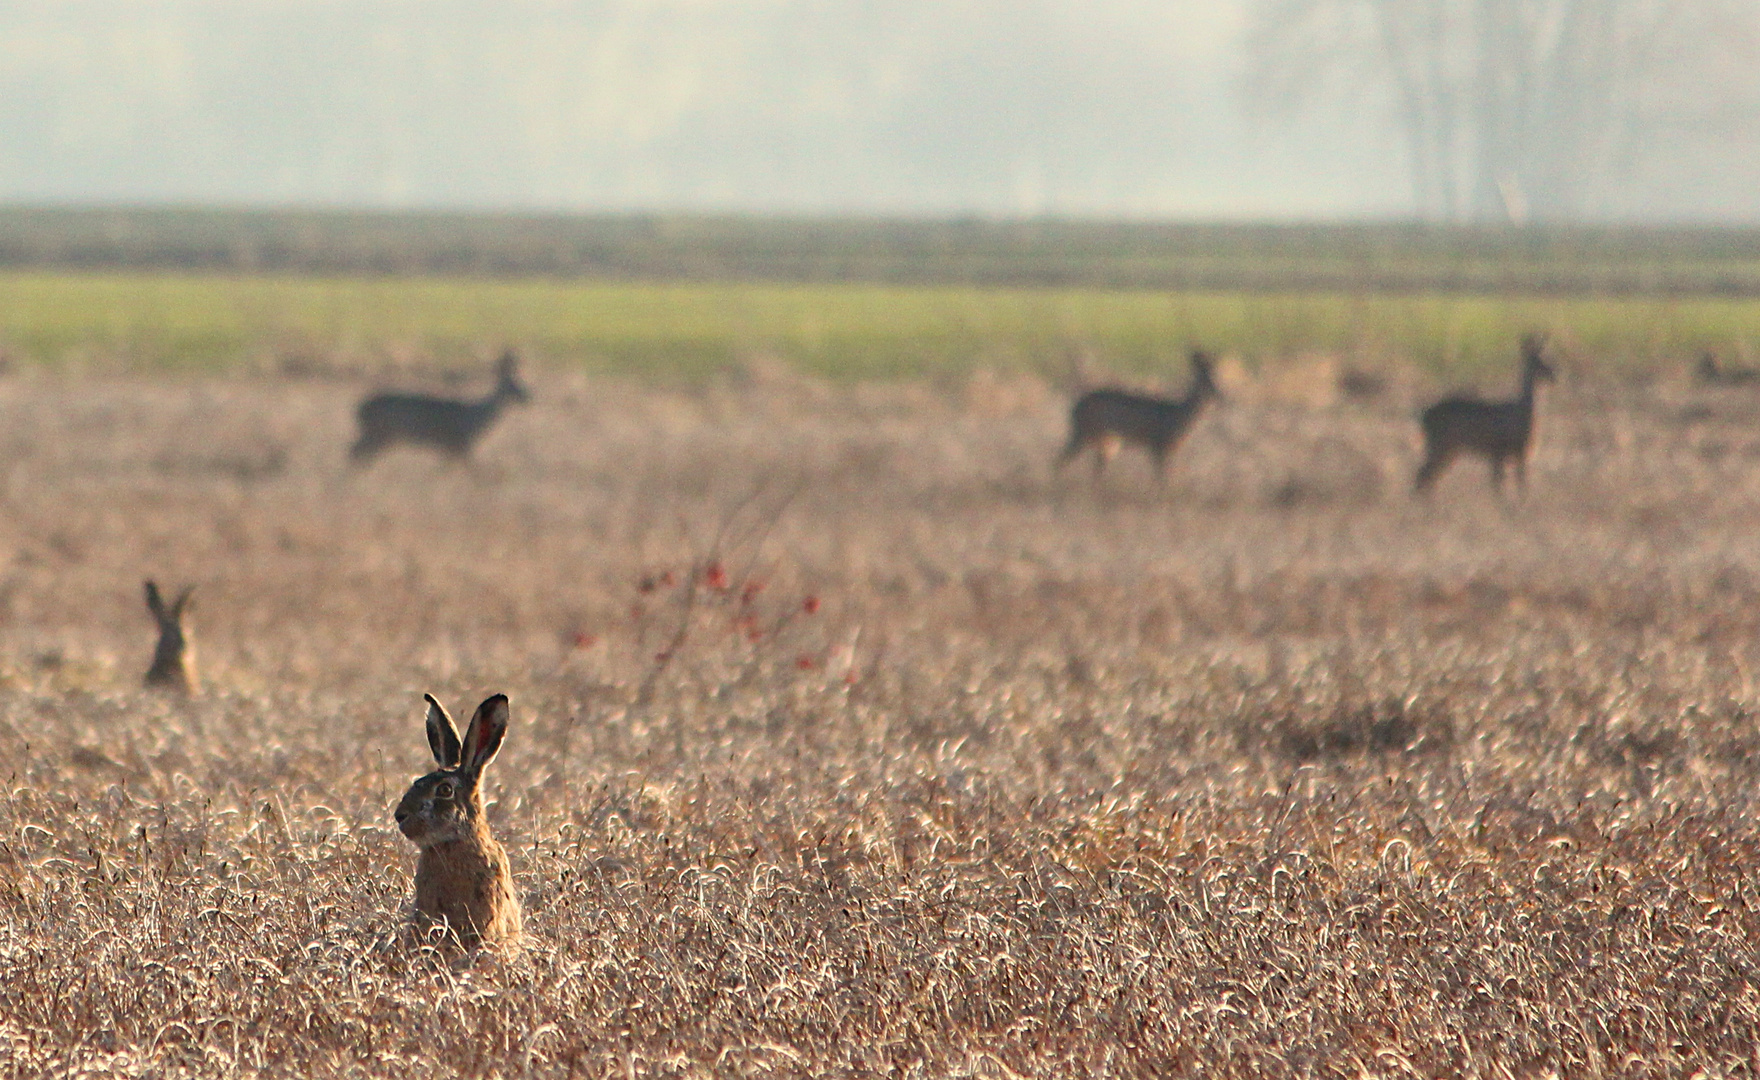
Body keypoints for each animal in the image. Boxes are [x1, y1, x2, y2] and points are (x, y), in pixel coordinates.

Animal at [350, 350, 528, 464]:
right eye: (515, 384)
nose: (528, 397)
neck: (475, 418)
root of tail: (359, 410)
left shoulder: (451, 451)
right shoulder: (459, 445)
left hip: (383, 437)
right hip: (379, 433)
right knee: (353, 452)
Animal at [1056, 351, 1224, 481]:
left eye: (1217, 379)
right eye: (1206, 381)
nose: (1219, 395)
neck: (1179, 417)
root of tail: (1075, 408)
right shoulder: (1158, 447)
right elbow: (1162, 481)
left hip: (1107, 441)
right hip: (1086, 433)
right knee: (1060, 460)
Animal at [1415, 335, 1555, 496]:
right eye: (1538, 360)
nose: (1553, 375)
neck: (1522, 411)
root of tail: (1424, 417)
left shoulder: (1502, 454)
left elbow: (1503, 484)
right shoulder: (1509, 451)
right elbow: (1512, 484)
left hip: (1448, 449)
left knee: (1427, 476)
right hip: (1440, 445)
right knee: (1422, 475)